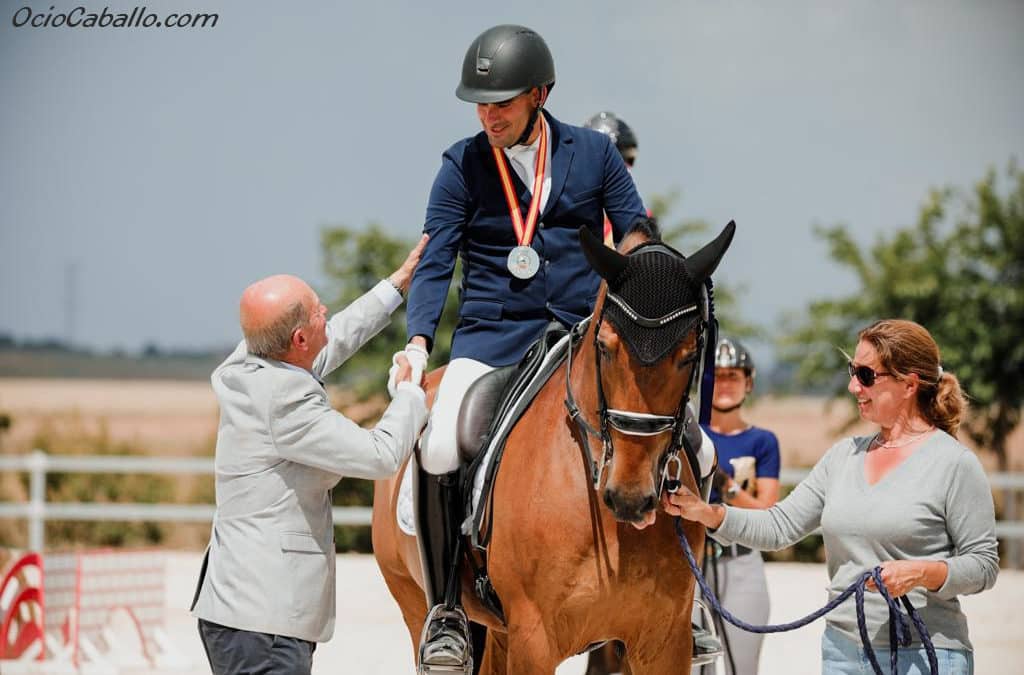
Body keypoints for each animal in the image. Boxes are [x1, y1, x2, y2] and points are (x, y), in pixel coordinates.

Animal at [376, 220, 737, 671]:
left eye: (689, 356)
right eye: (605, 346)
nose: (630, 497)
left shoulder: (663, 642)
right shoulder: (534, 641)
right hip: (414, 601)